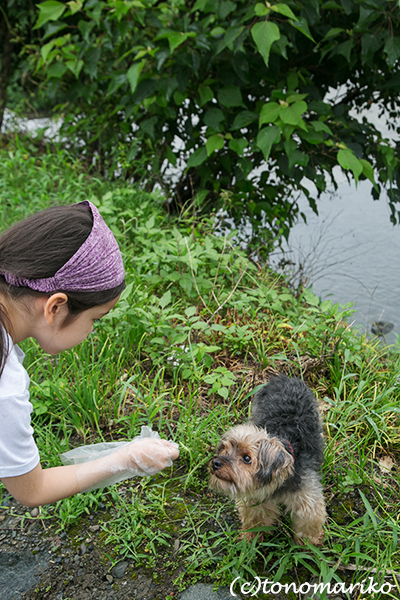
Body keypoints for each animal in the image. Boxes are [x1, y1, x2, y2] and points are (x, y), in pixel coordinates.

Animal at [209, 378, 324, 548]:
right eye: (224, 449)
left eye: (247, 458)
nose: (216, 463)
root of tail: (285, 377)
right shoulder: (254, 497)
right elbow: (256, 518)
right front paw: (251, 538)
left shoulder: (306, 496)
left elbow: (308, 520)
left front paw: (308, 544)